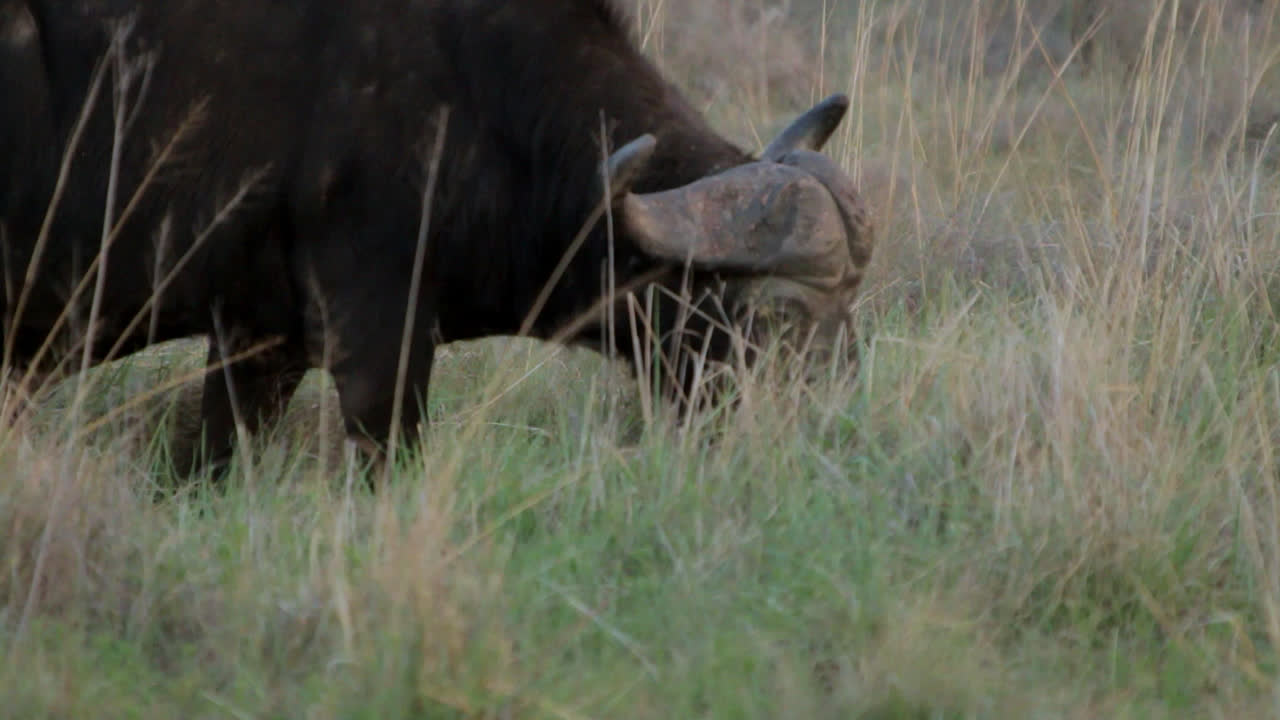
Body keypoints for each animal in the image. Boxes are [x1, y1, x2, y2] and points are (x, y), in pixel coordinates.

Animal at [0, 0, 873, 476]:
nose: (834, 426)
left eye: (852, 317)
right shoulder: (376, 341)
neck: (478, 93)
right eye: (777, 319)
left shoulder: (256, 344)